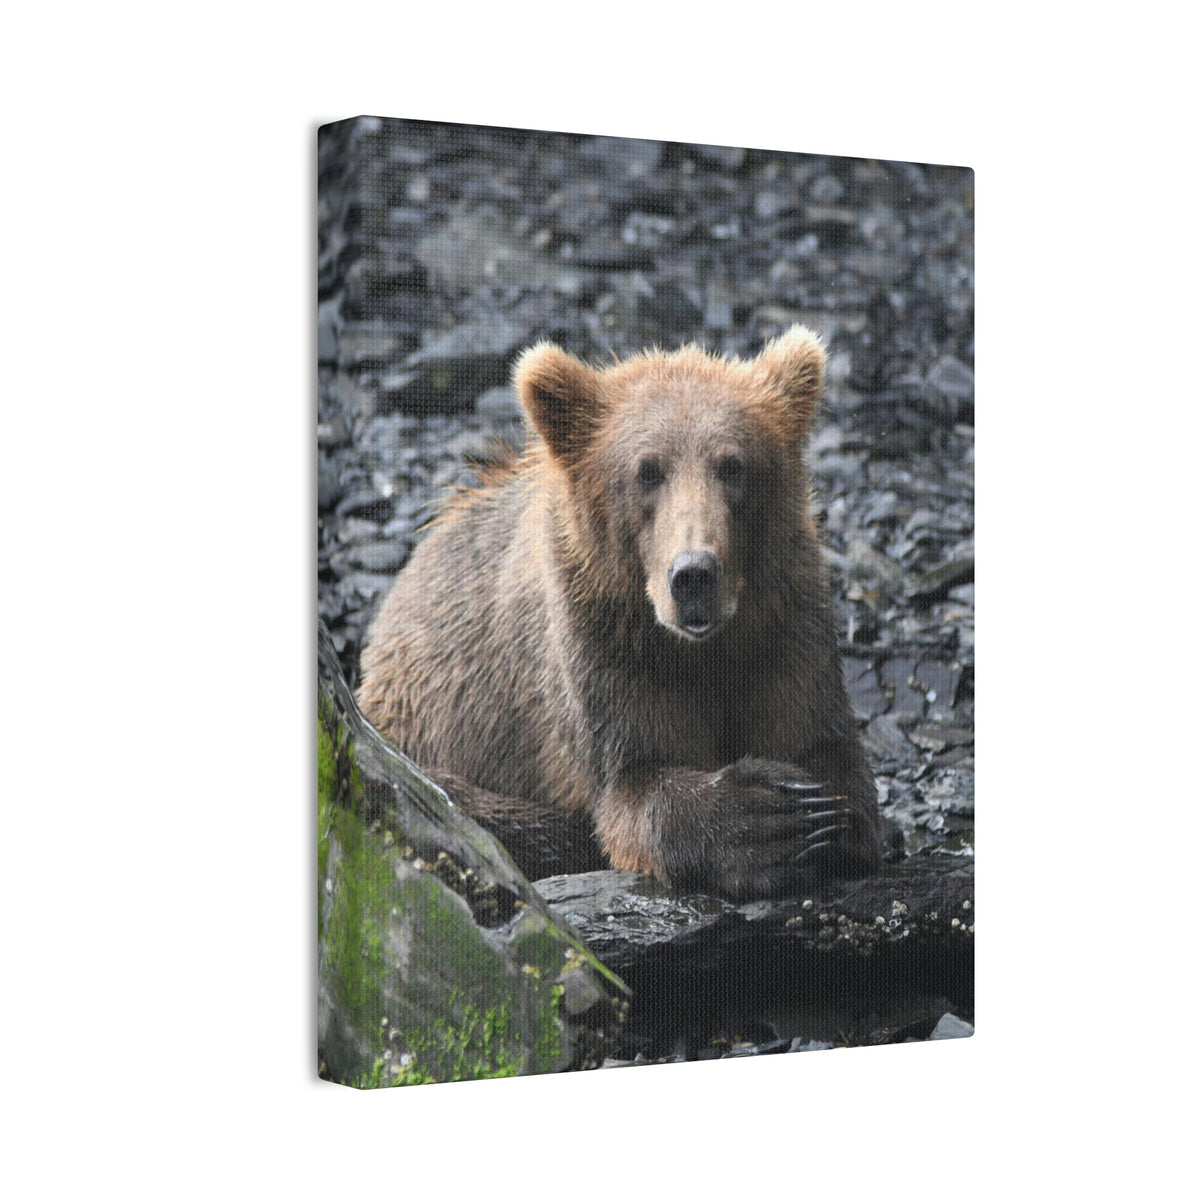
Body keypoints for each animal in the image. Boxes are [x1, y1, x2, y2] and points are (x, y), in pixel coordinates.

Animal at [358, 325, 881, 900]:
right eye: (647, 471)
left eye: (733, 466)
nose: (694, 575)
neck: (701, 648)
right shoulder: (602, 645)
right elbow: (634, 782)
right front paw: (767, 818)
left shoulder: (784, 623)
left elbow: (824, 746)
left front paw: (823, 815)